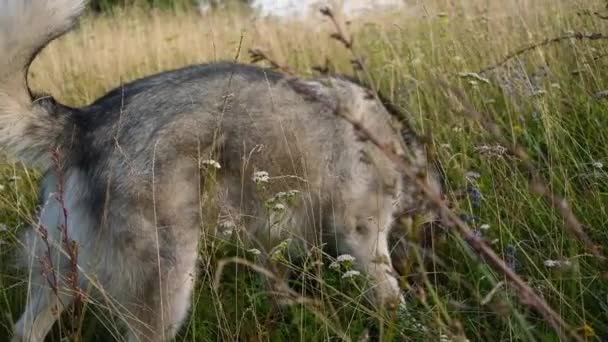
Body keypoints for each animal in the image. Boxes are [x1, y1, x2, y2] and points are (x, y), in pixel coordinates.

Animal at [2, 1, 442, 340]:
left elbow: (277, 288)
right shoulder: (363, 233)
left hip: (59, 276)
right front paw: (409, 323)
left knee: (25, 329)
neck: (399, 144)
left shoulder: (268, 236)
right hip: (168, 284)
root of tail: (84, 122)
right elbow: (390, 295)